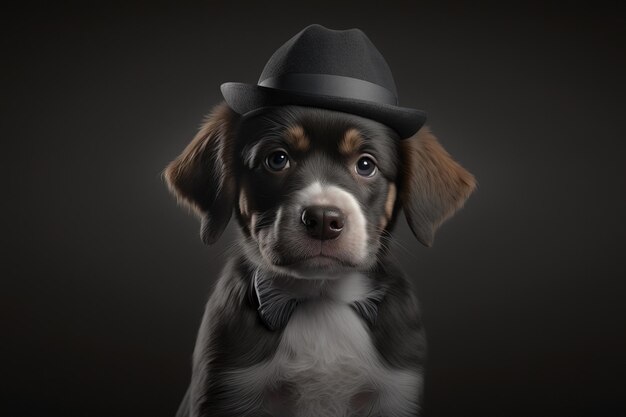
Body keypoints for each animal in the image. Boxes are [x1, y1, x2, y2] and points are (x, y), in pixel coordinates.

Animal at [163, 101, 476, 416]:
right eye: (277, 159)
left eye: (366, 165)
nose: (324, 219)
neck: (322, 298)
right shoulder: (228, 387)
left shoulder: (396, 392)